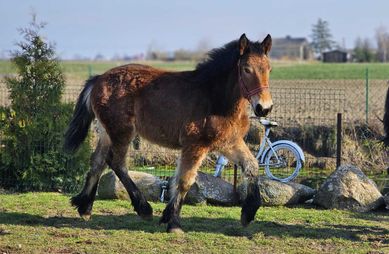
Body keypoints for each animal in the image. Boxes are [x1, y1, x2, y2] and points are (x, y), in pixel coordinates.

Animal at [64, 33, 272, 232]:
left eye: (269, 69)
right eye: (246, 69)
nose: (264, 108)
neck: (215, 98)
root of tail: (98, 79)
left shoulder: (229, 143)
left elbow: (252, 165)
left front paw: (249, 212)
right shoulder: (195, 145)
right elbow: (185, 181)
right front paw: (173, 222)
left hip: (107, 132)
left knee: (97, 161)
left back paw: (85, 207)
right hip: (122, 132)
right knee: (117, 163)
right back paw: (143, 208)